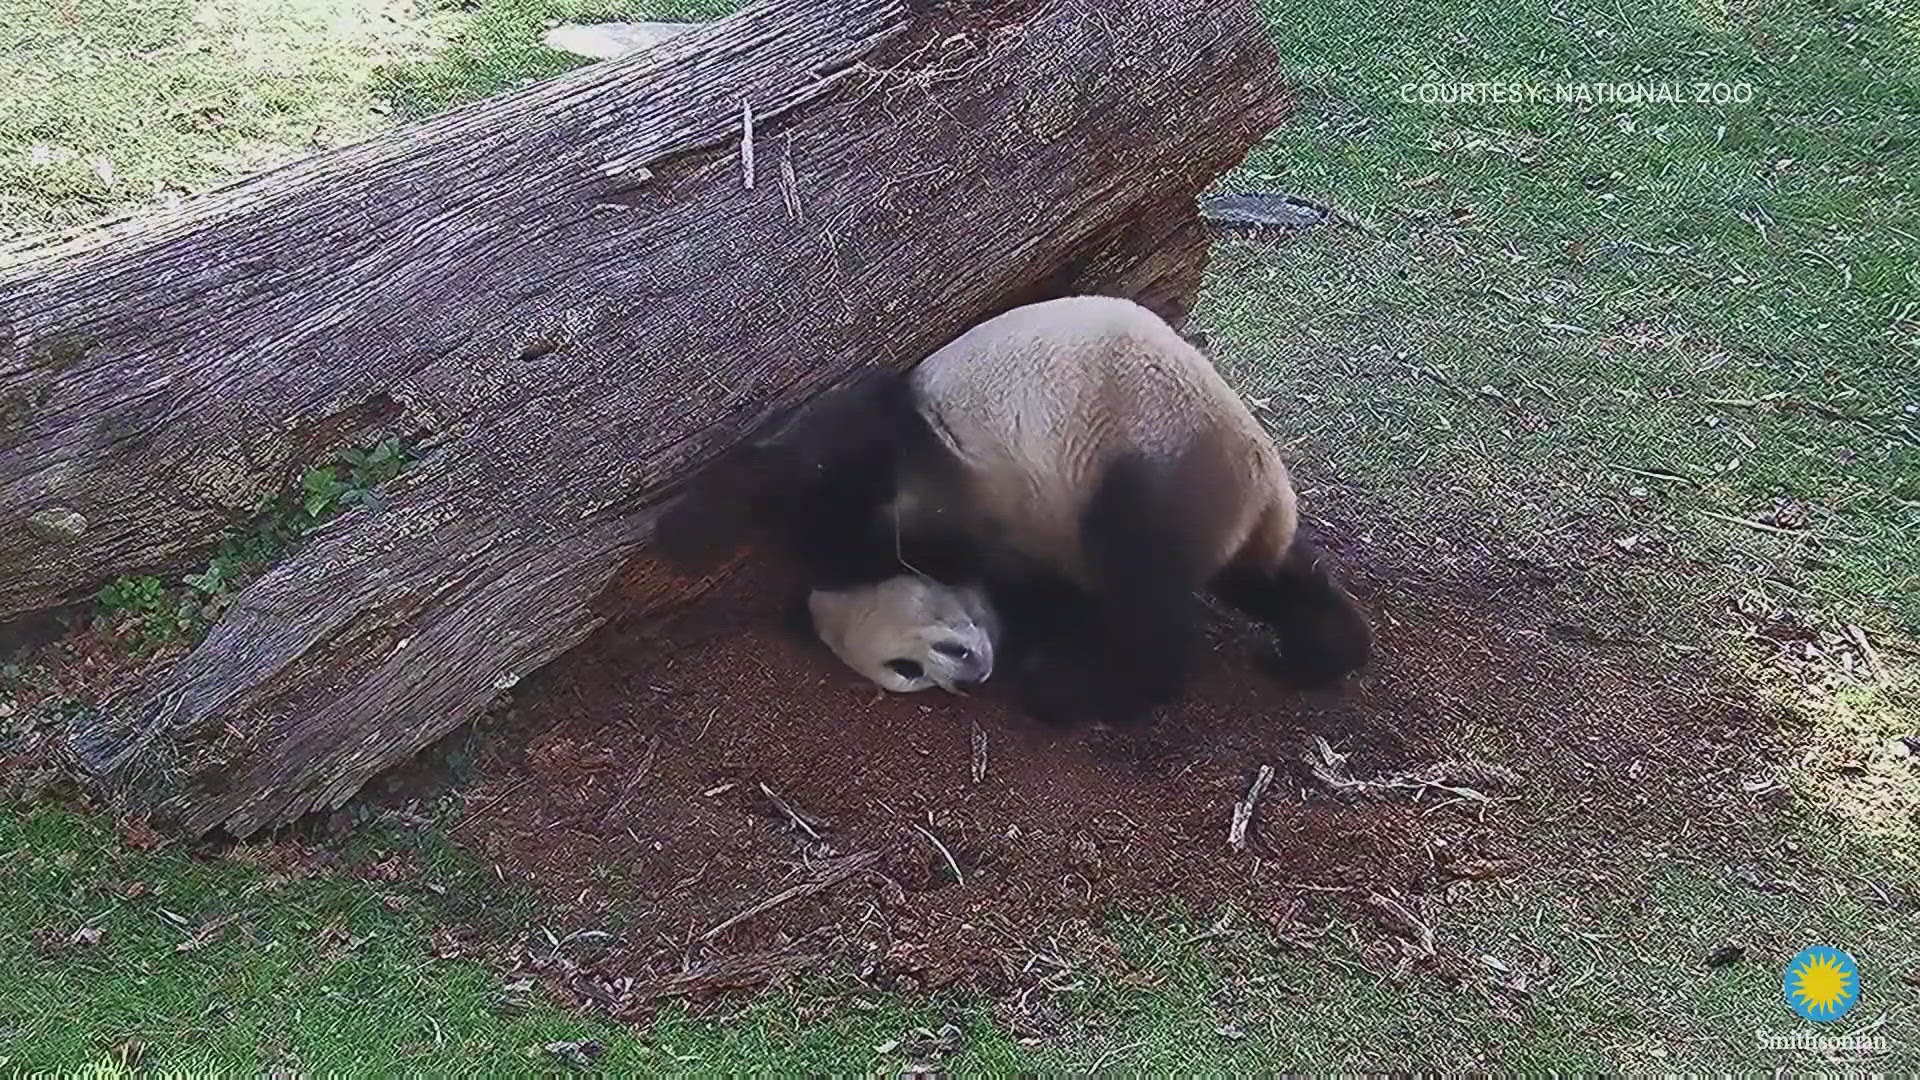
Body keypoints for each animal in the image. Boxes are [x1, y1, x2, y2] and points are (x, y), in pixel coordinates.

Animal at [655, 294, 1372, 725]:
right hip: (1229, 508)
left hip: (1145, 447)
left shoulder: (920, 461)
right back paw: (1317, 647)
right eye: (905, 673)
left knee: (1143, 580)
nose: (966, 675)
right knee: (1272, 578)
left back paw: (1075, 684)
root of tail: (1254, 488)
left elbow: (817, 470)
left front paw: (685, 532)